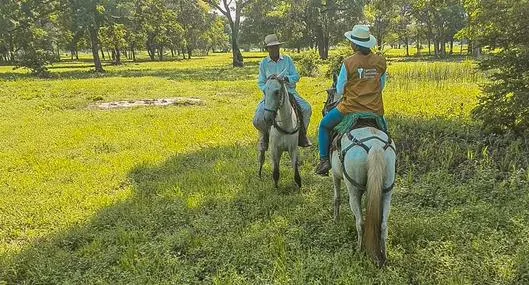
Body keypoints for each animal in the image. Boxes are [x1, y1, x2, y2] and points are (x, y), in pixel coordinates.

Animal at [322, 87, 396, 266]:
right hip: (387, 189)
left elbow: (336, 198)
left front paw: (335, 220)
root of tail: (375, 145)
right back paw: (384, 256)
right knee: (384, 224)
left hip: (353, 189)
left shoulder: (335, 175)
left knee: (360, 222)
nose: (324, 110)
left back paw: (358, 250)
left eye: (328, 100)